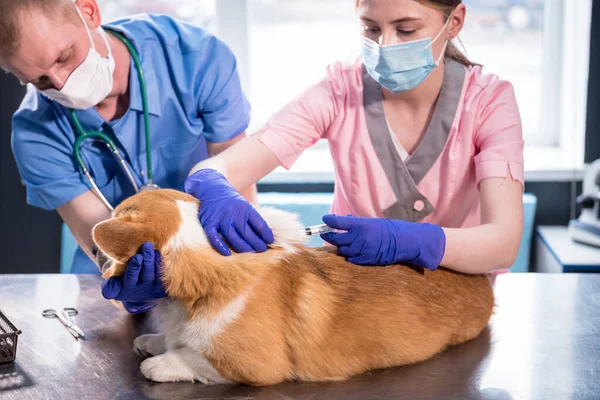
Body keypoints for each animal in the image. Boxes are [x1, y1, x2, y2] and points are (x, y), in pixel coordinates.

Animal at [91, 189, 494, 386]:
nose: (92, 249)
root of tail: (483, 285)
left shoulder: (254, 366)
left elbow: (192, 356)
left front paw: (160, 363)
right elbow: (175, 339)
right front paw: (155, 341)